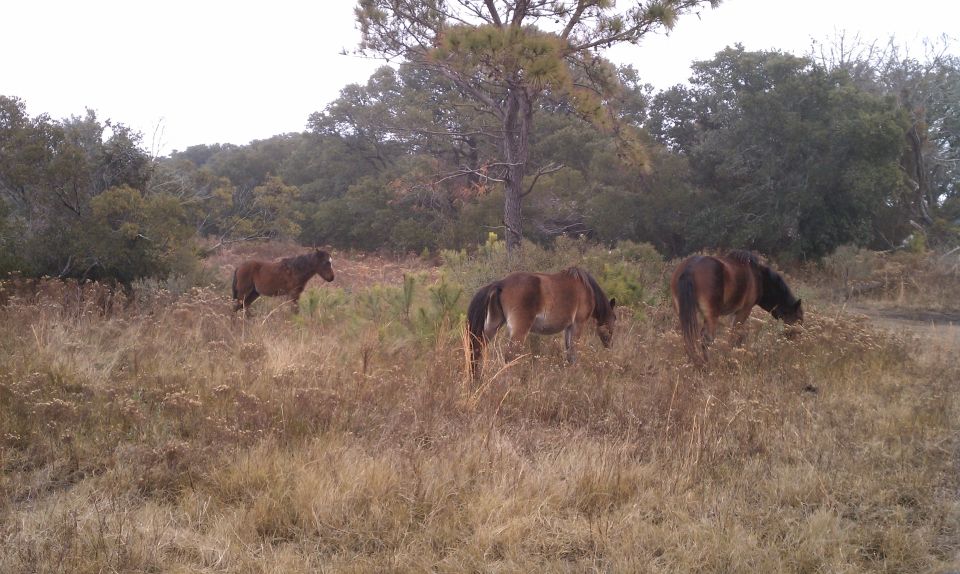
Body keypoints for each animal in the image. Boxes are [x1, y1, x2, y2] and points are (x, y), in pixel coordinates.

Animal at [466, 267, 616, 379]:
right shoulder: (577, 324)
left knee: (477, 348)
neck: (587, 289)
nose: (610, 346)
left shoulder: (568, 327)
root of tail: (501, 283)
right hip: (519, 330)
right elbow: (574, 351)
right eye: (614, 319)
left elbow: (569, 352)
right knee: (510, 356)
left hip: (492, 325)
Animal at [670, 250, 802, 363]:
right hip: (711, 315)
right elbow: (735, 336)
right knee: (706, 339)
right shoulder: (744, 311)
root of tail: (690, 267)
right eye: (799, 319)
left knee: (689, 338)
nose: (795, 347)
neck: (759, 277)